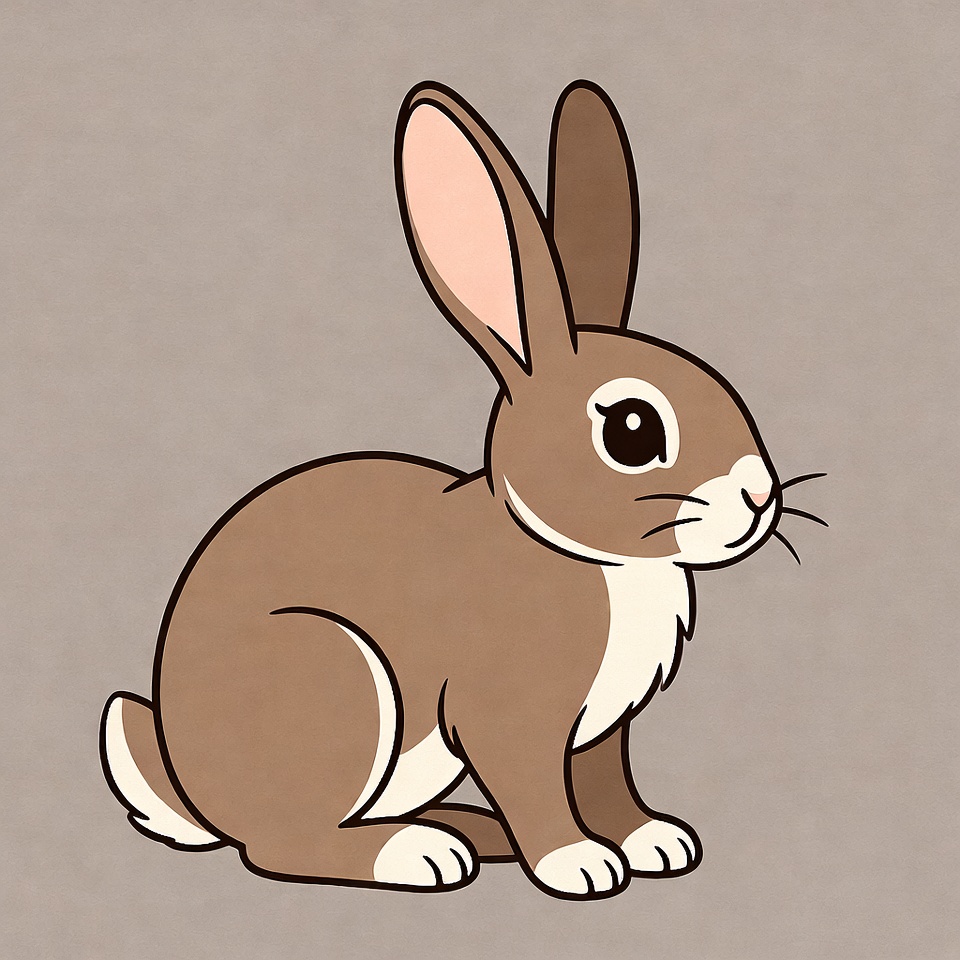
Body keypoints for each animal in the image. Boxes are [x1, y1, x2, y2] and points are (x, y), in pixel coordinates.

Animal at [100, 79, 809, 901]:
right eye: (632, 430)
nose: (759, 497)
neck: (579, 553)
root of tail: (191, 790)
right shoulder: (507, 716)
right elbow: (537, 788)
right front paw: (581, 864)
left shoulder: (602, 732)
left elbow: (607, 782)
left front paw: (653, 842)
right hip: (333, 676)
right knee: (281, 844)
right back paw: (421, 855)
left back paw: (467, 832)